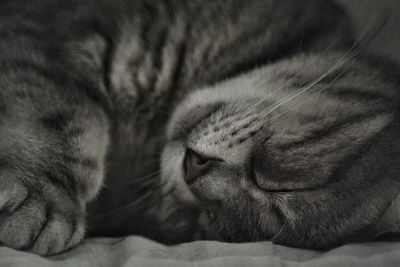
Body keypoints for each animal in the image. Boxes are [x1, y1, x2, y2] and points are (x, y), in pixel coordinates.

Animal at [0, 0, 400, 256]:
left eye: (210, 218)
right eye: (274, 176)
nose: (192, 172)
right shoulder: (41, 35)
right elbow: (60, 113)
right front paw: (44, 193)